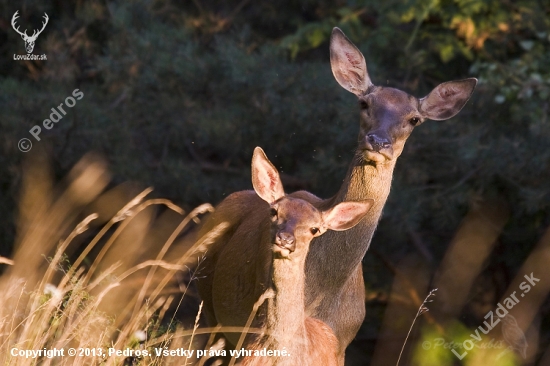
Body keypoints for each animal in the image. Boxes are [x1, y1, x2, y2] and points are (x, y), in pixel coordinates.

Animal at [198, 27, 478, 362]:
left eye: (414, 119)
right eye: (364, 104)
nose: (378, 141)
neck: (324, 289)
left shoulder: (341, 343)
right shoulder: (256, 323)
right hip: (207, 302)